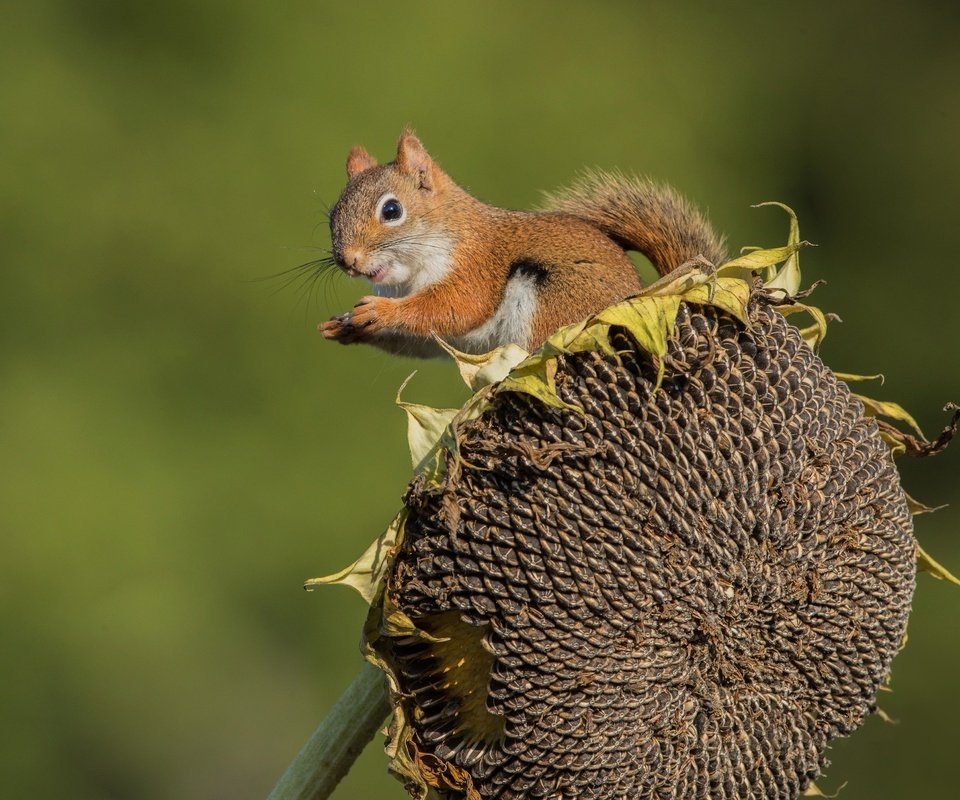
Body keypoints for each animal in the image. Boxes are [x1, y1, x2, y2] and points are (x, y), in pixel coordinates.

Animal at [318, 131, 724, 356]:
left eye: (391, 210)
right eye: (332, 214)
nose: (348, 260)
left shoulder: (476, 265)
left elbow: (457, 306)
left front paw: (380, 311)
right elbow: (426, 338)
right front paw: (345, 326)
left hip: (556, 301)